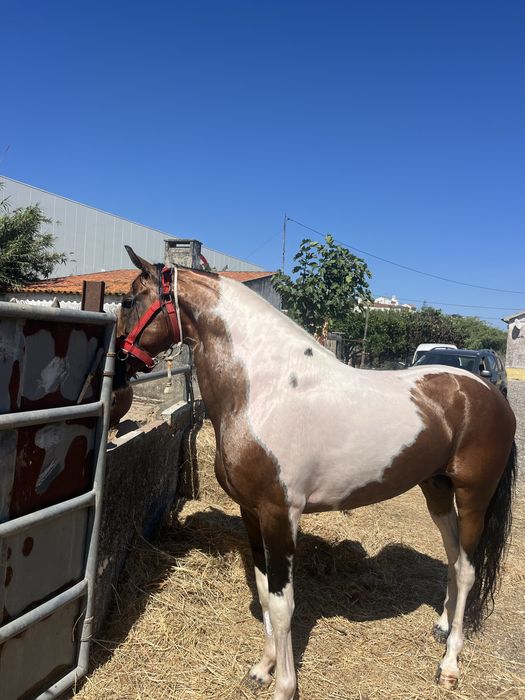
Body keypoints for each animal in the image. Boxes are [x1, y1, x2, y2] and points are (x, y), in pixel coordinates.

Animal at [115, 246, 517, 700]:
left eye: (128, 301)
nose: (118, 366)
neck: (264, 391)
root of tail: (487, 392)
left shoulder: (280, 514)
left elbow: (282, 604)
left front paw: (284, 686)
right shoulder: (251, 513)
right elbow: (264, 592)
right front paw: (263, 669)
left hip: (473, 495)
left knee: (467, 570)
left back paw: (449, 665)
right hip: (436, 488)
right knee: (452, 555)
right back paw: (443, 627)